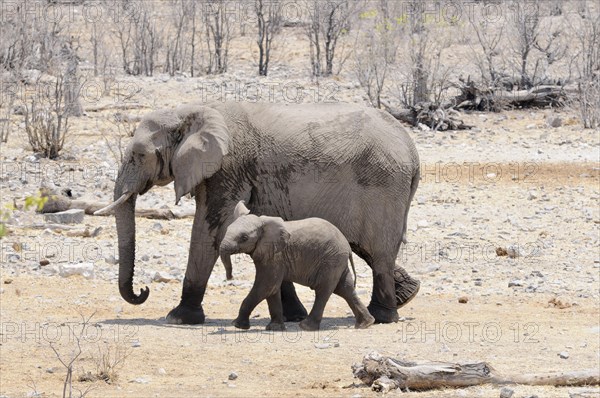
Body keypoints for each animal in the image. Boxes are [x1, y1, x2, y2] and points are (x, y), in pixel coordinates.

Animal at [220, 201, 376, 332]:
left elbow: (266, 286)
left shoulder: (275, 256)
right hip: (337, 261)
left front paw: (238, 325)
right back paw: (365, 324)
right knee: (345, 289)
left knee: (323, 290)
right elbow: (272, 289)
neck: (263, 223)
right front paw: (275, 328)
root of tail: (347, 246)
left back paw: (306, 327)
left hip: (331, 260)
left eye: (244, 238)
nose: (230, 277)